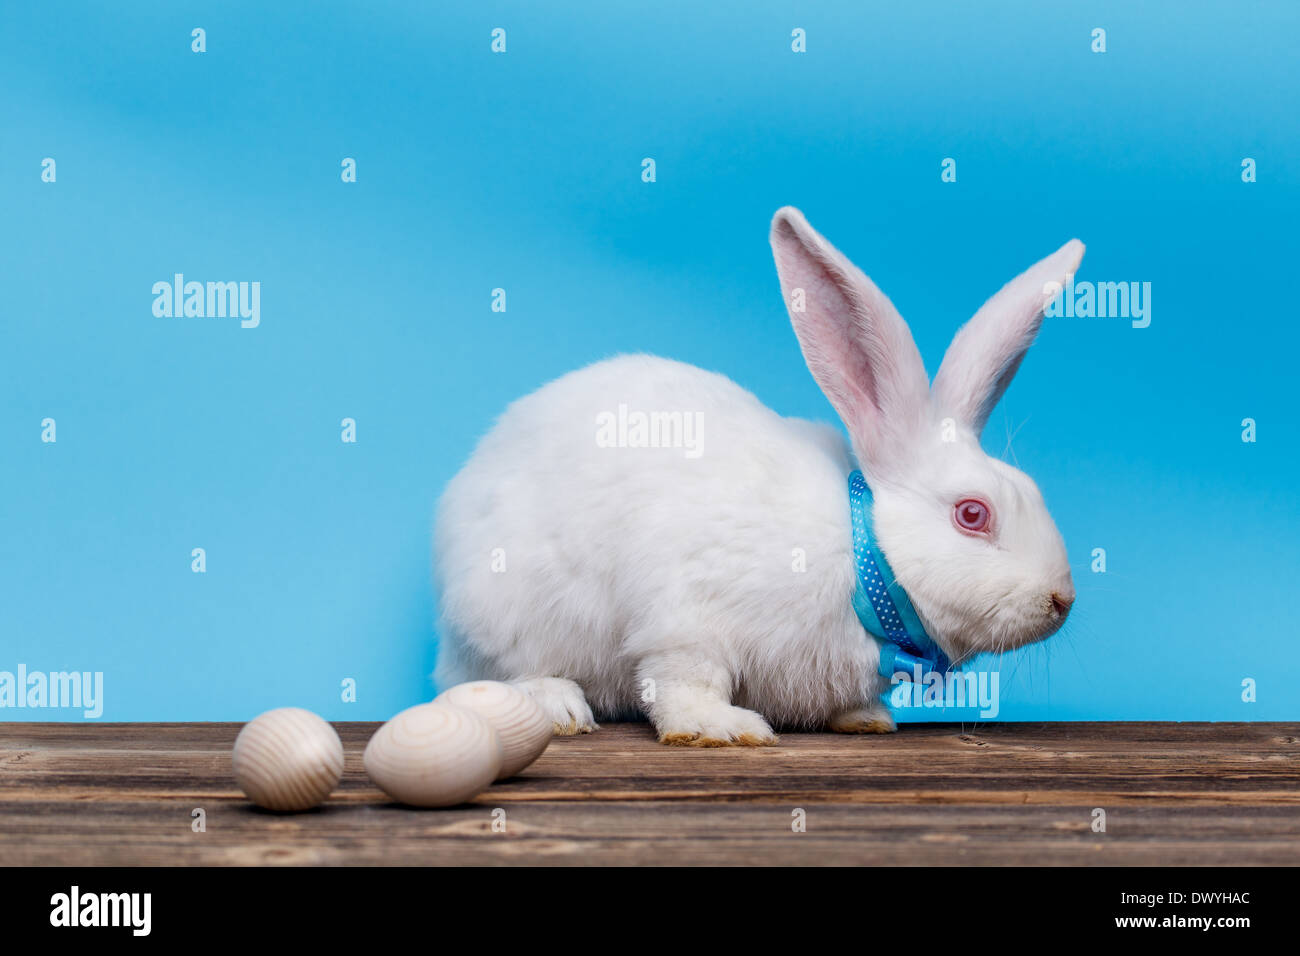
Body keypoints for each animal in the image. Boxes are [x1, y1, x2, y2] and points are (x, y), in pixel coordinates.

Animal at [433, 206, 1080, 745]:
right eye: (972, 514)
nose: (1062, 599)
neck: (861, 554)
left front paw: (866, 720)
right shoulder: (684, 623)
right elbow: (684, 682)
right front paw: (721, 729)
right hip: (512, 614)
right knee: (495, 677)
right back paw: (561, 707)